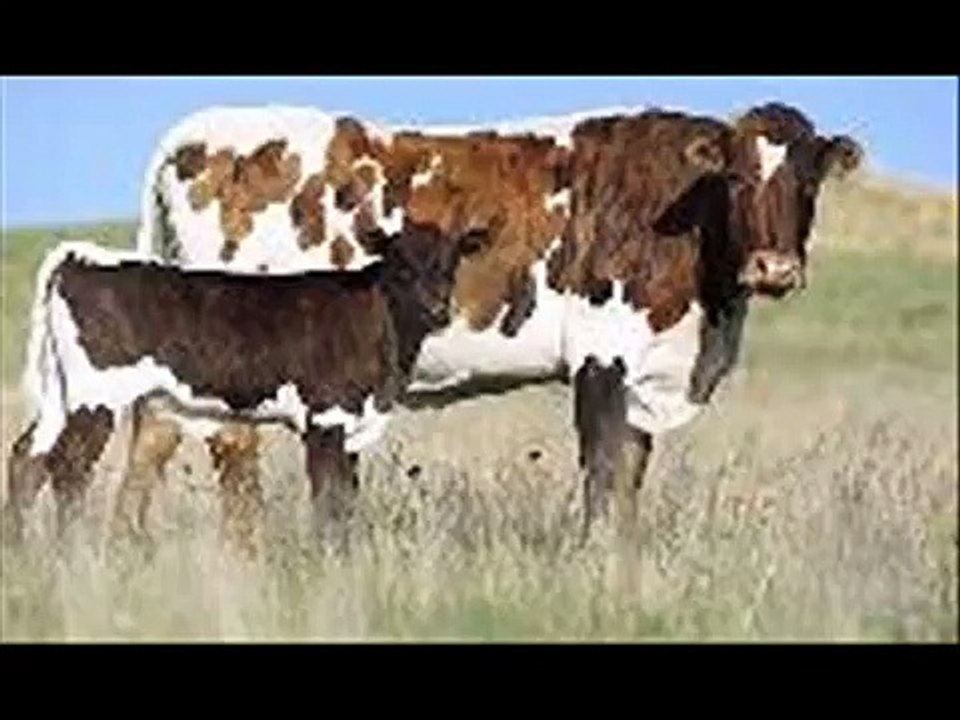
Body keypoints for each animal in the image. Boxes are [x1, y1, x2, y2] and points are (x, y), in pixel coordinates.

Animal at [2, 220, 490, 554]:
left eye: (451, 262)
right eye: (401, 264)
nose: (437, 309)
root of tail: (82, 256)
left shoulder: (352, 422)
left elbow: (347, 498)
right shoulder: (324, 416)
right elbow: (328, 497)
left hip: (60, 395)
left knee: (28, 456)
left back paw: (21, 554)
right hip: (96, 395)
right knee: (69, 465)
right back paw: (72, 556)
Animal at [124, 100, 862, 541]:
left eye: (808, 183)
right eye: (737, 179)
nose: (773, 267)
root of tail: (197, 133)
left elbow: (629, 473)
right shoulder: (603, 355)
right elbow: (602, 469)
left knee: (154, 434)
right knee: (231, 446)